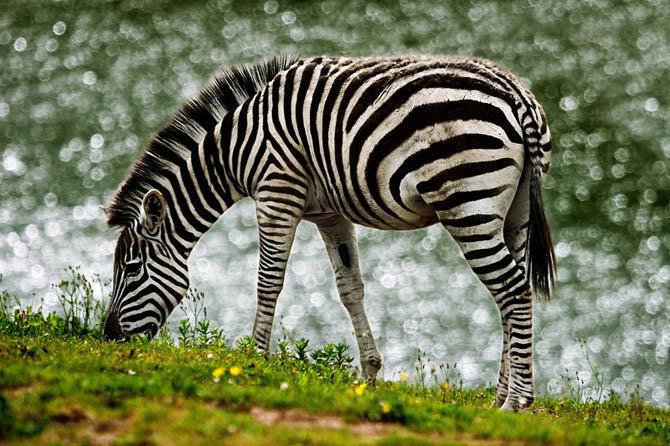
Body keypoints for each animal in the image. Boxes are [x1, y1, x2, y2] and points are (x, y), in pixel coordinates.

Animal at [102, 54, 555, 412]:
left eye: (132, 268)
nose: (108, 340)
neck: (234, 150)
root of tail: (517, 96)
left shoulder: (276, 192)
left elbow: (268, 282)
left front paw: (253, 360)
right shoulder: (328, 214)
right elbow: (349, 287)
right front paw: (369, 375)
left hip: (466, 203)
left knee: (513, 290)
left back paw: (517, 402)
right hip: (513, 212)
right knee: (511, 295)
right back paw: (499, 398)